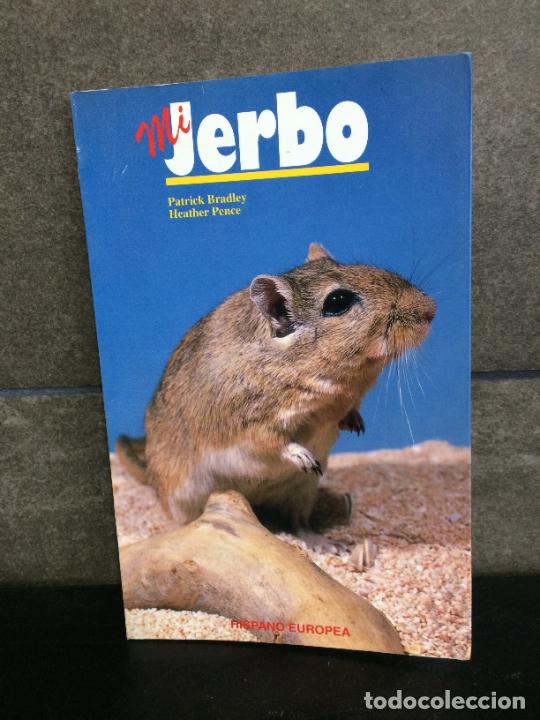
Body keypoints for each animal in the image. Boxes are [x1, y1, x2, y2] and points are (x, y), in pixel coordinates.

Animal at [116, 243, 435, 531]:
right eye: (338, 301)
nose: (431, 309)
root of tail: (151, 473)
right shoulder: (251, 424)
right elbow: (276, 442)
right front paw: (304, 457)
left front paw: (356, 424)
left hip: (302, 490)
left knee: (299, 523)